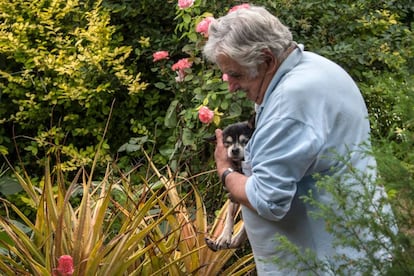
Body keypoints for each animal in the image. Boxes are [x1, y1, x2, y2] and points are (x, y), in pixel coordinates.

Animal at [203, 117, 252, 251]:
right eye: (227, 143)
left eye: (245, 141)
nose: (234, 150)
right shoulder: (233, 196)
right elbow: (229, 216)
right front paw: (224, 237)